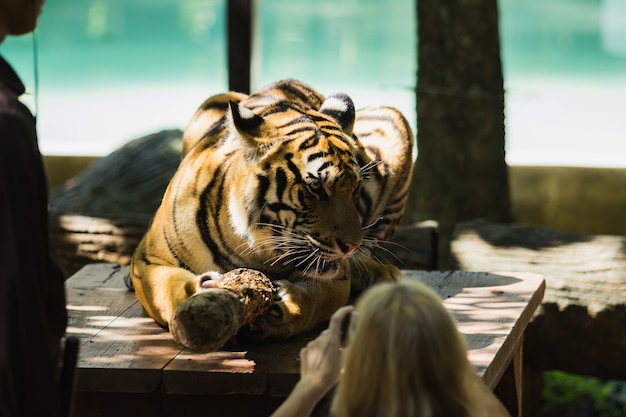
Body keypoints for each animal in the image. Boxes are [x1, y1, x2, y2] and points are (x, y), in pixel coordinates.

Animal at [129, 79, 412, 350]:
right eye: (315, 188)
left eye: (355, 188)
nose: (351, 245)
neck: (252, 247)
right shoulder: (148, 261)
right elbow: (168, 291)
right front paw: (198, 289)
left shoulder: (338, 275)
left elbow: (314, 302)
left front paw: (286, 309)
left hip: (394, 117)